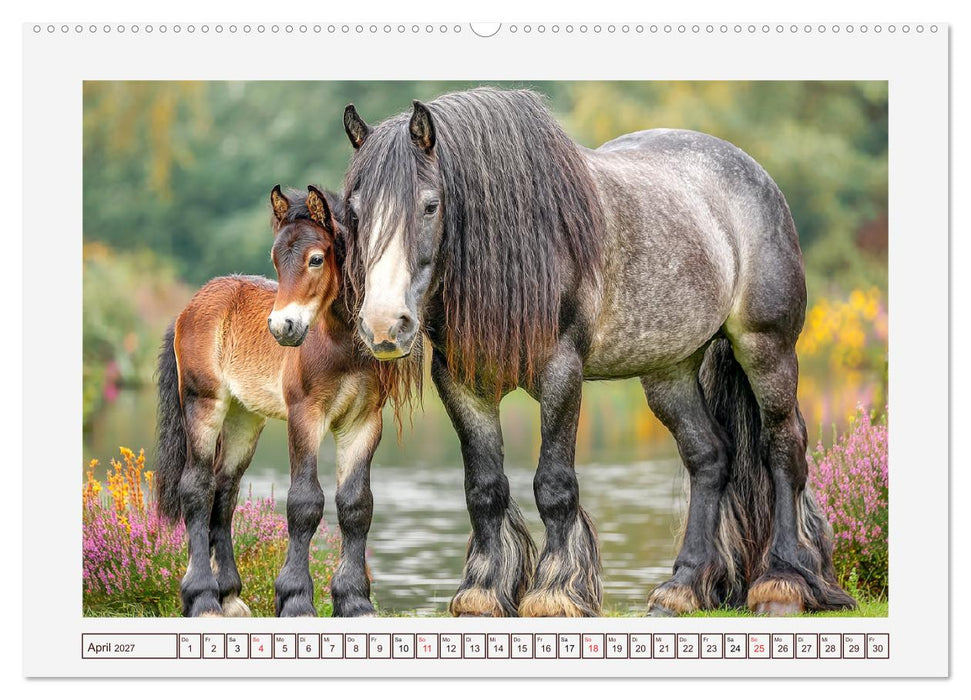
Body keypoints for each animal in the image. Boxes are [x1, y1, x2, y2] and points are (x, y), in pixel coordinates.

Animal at [154, 185, 410, 617]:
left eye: (316, 258)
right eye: (275, 259)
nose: (282, 328)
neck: (342, 345)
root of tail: (189, 307)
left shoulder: (363, 421)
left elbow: (356, 505)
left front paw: (355, 601)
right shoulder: (304, 414)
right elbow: (304, 502)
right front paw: (295, 599)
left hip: (243, 418)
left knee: (225, 491)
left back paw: (230, 597)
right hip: (203, 403)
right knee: (197, 488)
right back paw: (202, 597)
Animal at [339, 87, 856, 617]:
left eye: (429, 206)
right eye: (353, 212)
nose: (383, 326)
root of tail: (756, 175)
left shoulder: (561, 372)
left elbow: (554, 486)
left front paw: (555, 593)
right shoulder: (462, 384)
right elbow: (484, 489)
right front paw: (481, 594)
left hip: (766, 347)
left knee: (783, 448)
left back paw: (783, 582)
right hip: (669, 371)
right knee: (708, 456)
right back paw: (682, 588)